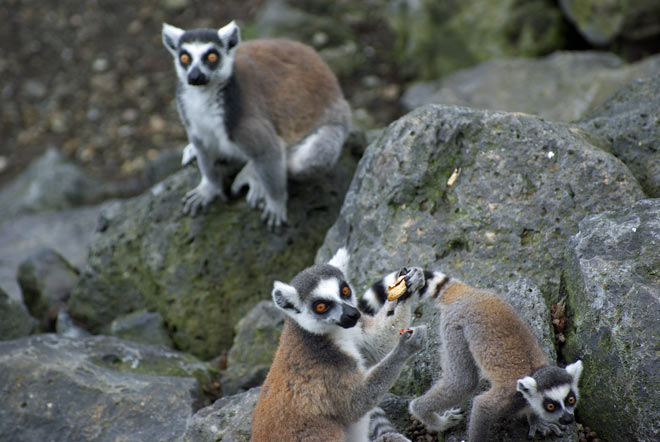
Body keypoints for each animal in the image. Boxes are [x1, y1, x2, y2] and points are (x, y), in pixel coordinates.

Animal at [162, 21, 351, 229]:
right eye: (184, 57)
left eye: (211, 56)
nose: (195, 76)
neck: (204, 98)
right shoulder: (190, 115)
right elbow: (203, 146)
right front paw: (208, 188)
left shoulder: (244, 121)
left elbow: (269, 150)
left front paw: (276, 203)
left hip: (335, 123)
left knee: (307, 160)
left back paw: (254, 173)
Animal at [250, 249, 427, 442]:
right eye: (320, 306)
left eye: (345, 290)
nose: (352, 314)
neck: (332, 333)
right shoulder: (325, 366)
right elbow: (355, 403)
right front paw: (405, 348)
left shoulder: (352, 331)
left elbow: (375, 344)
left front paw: (407, 287)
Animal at [360, 270, 583, 441]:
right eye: (551, 405)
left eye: (571, 400)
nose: (567, 419)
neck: (535, 371)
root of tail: (470, 293)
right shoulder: (508, 397)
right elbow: (481, 407)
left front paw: (537, 421)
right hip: (455, 328)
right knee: (463, 382)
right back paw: (428, 415)